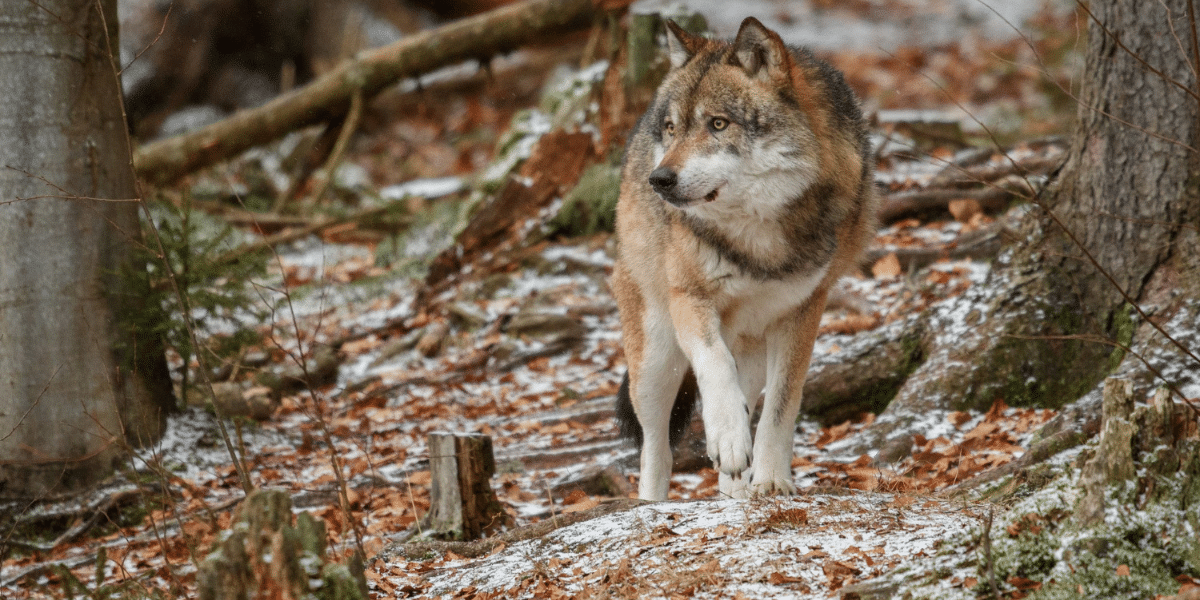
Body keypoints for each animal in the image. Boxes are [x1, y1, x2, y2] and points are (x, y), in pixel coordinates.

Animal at [611, 17, 877, 501]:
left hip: (749, 347)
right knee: (656, 447)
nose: (659, 179)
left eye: (718, 124)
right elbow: (714, 367)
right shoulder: (688, 298)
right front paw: (729, 438)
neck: (757, 239)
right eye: (673, 128)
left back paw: (733, 492)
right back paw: (653, 502)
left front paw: (771, 479)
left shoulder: (804, 311)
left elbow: (782, 405)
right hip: (656, 358)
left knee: (744, 403)